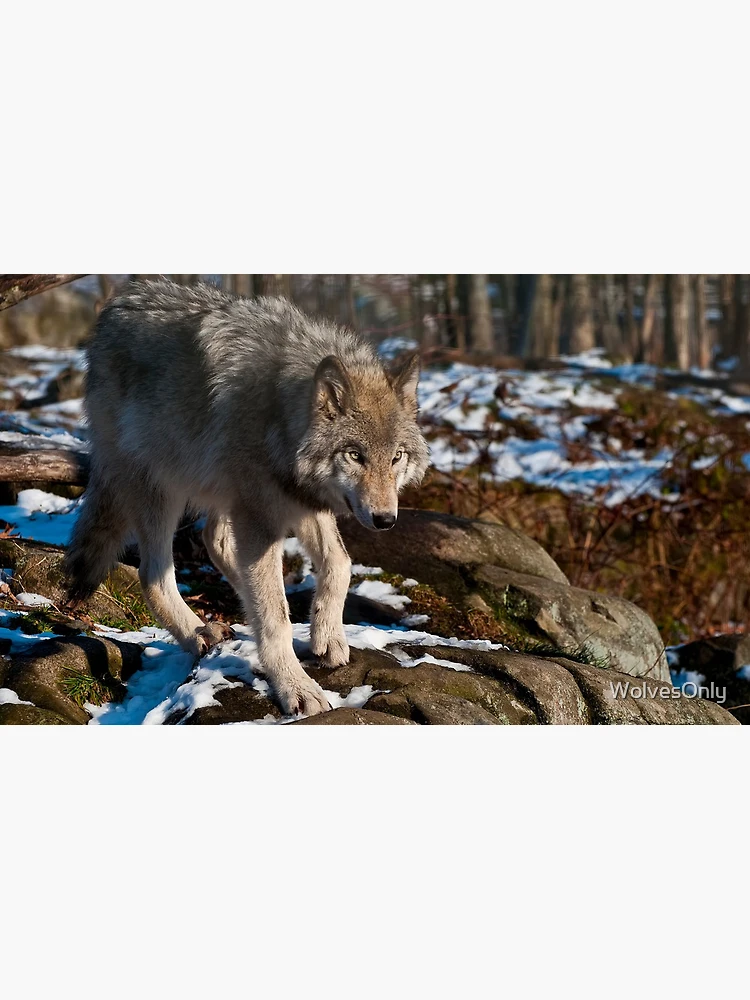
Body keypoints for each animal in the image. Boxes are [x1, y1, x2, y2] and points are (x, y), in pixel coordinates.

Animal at [64, 278, 429, 716]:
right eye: (355, 455)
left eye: (397, 457)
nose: (385, 519)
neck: (278, 414)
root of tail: (116, 306)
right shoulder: (262, 515)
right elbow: (275, 618)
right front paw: (295, 686)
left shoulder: (300, 500)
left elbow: (339, 563)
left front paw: (327, 636)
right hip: (162, 488)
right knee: (153, 575)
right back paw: (198, 633)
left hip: (222, 493)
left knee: (216, 542)